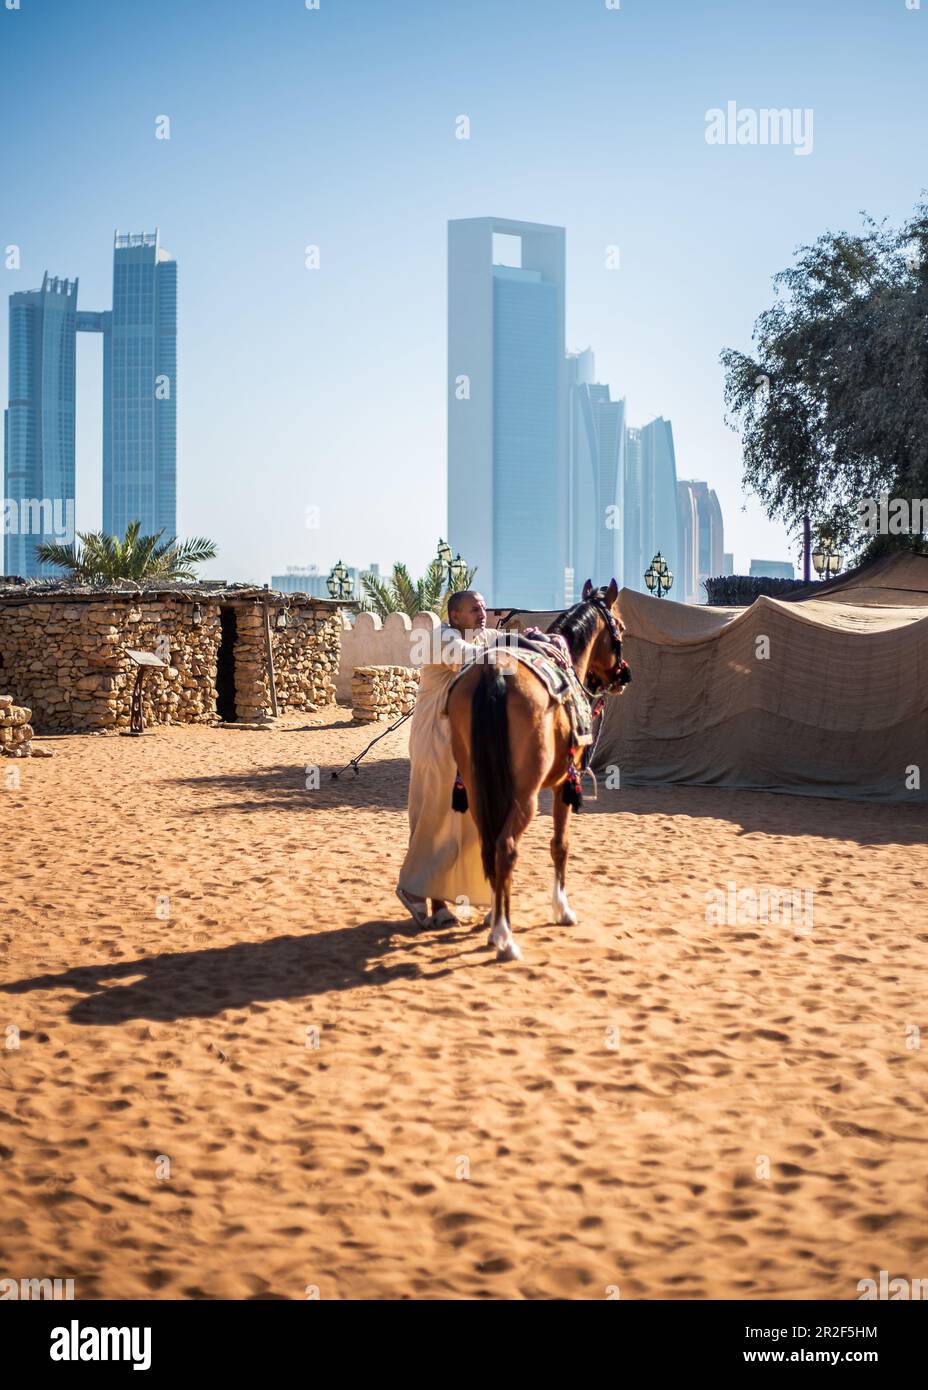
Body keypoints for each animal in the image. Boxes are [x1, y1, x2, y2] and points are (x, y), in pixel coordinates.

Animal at [446, 579, 628, 962]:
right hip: (524, 796)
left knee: (489, 844)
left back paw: (495, 921)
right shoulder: (563, 786)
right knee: (506, 847)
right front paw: (562, 909)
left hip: (478, 787)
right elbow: (560, 844)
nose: (624, 675)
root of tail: (495, 675)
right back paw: (504, 937)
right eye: (619, 628)